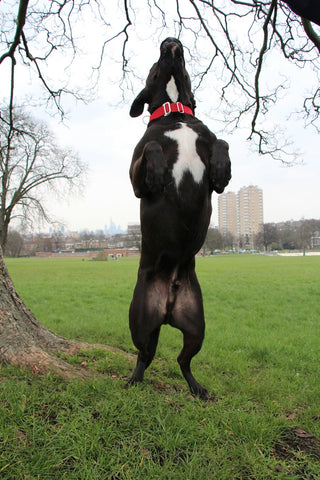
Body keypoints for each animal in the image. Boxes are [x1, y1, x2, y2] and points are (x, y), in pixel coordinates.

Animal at [127, 37, 230, 400]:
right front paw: (159, 173)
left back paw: (198, 389)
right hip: (140, 320)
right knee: (144, 355)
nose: (170, 40)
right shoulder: (135, 178)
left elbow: (223, 141)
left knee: (182, 360)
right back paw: (133, 382)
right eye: (153, 65)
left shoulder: (212, 143)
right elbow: (153, 148)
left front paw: (221, 169)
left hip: (197, 326)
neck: (175, 113)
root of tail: (168, 305)